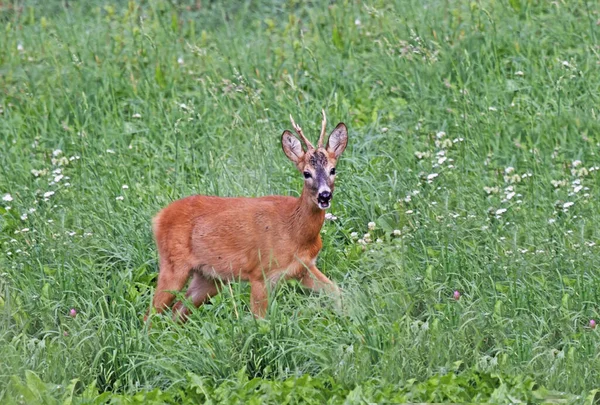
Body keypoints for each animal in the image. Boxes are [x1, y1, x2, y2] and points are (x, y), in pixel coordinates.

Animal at [147, 110, 350, 318]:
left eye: (333, 170)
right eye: (306, 173)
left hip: (208, 277)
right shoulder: (260, 273)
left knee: (178, 310)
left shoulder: (303, 267)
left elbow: (337, 292)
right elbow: (260, 319)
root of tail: (159, 217)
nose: (324, 195)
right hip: (173, 265)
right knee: (151, 313)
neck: (294, 231)